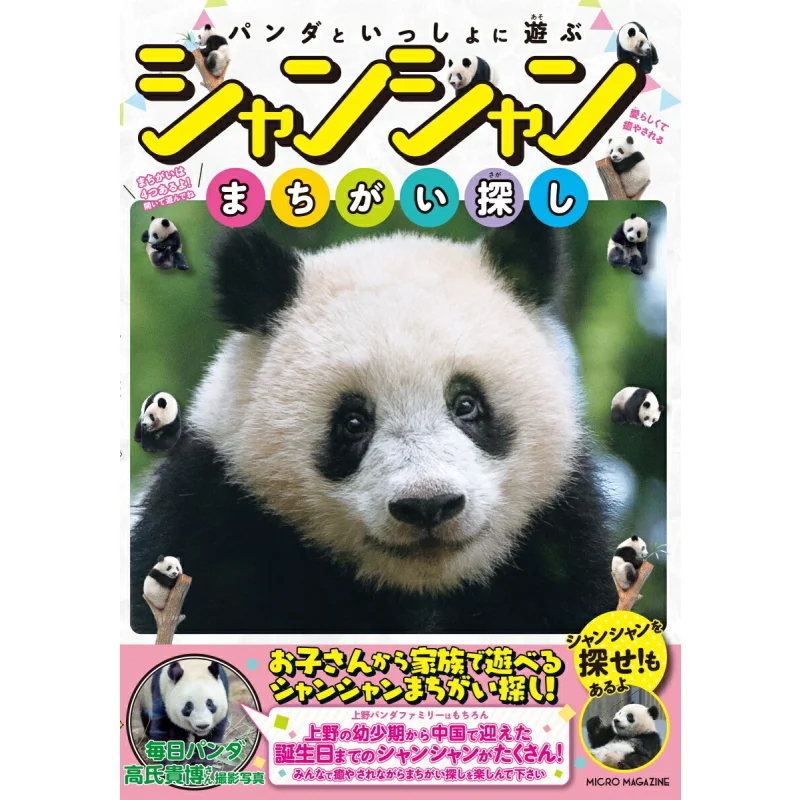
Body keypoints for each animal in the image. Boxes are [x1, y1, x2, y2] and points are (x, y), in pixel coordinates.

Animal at [130, 216, 618, 634]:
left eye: (466, 405)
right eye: (352, 422)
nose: (428, 506)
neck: (421, 589)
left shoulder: (558, 541)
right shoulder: (210, 519)